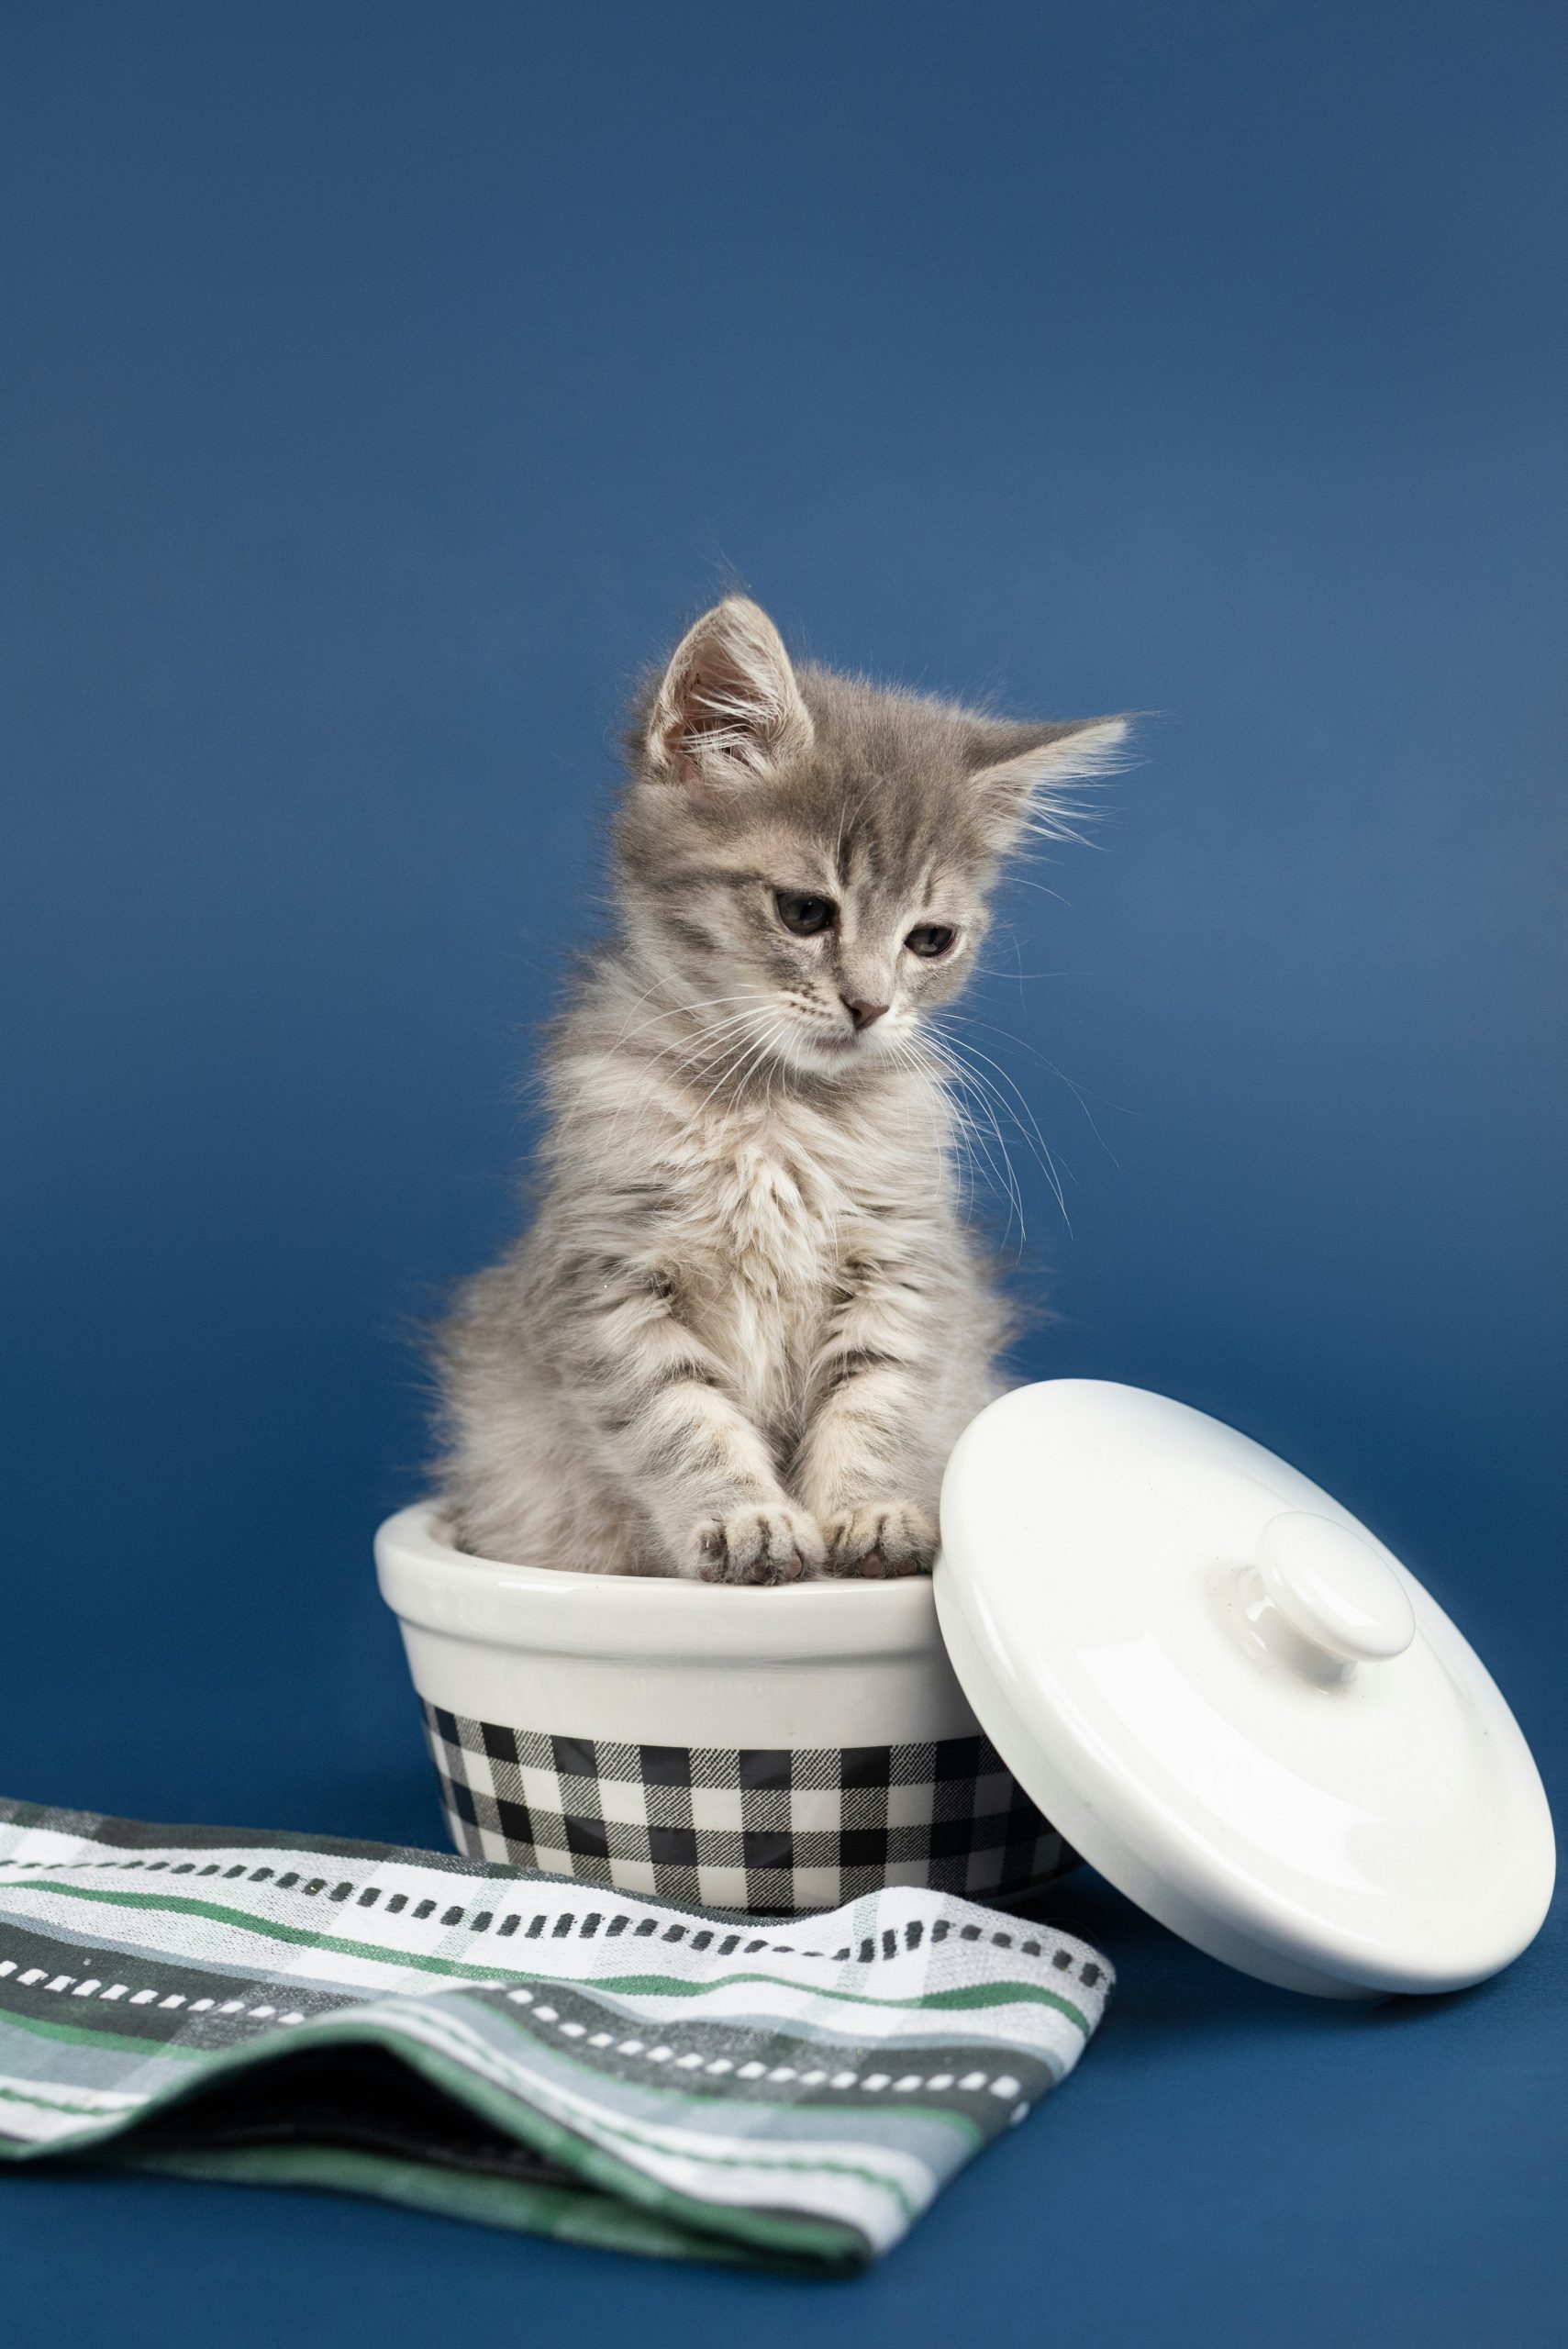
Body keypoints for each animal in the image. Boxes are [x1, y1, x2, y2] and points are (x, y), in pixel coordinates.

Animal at [439, 596, 1127, 1587]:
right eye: (805, 912)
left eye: (930, 940)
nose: (869, 1005)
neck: (775, 1110)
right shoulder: (605, 1278)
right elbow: (679, 1418)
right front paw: (745, 1521)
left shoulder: (903, 1268)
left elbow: (876, 1403)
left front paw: (868, 1513)